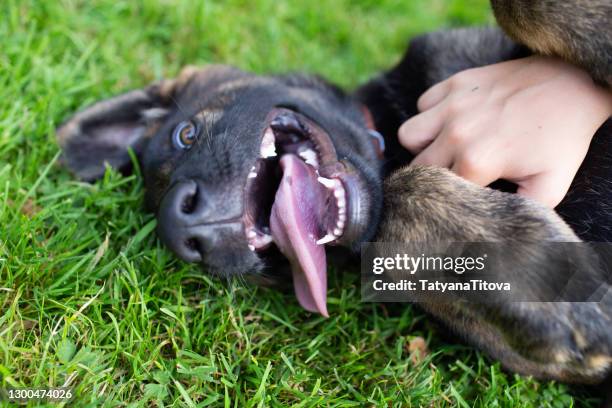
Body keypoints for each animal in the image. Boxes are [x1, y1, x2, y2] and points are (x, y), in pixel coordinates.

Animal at [55, 7, 608, 388]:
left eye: (185, 135)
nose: (181, 227)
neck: (389, 132)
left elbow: (524, 7)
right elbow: (401, 196)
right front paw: (543, 278)